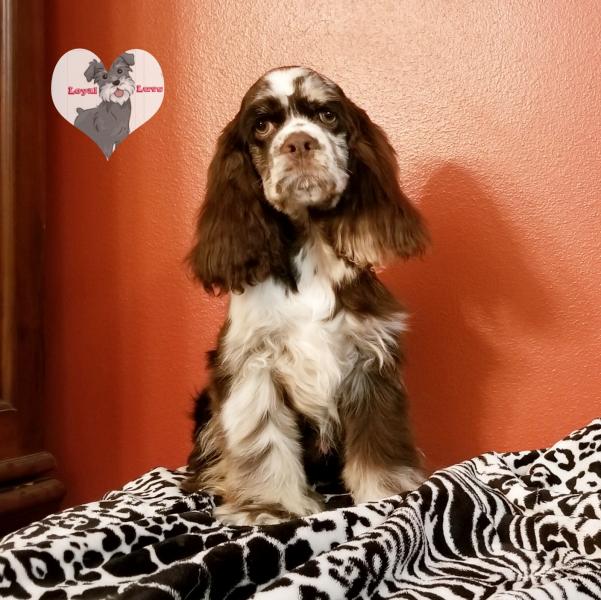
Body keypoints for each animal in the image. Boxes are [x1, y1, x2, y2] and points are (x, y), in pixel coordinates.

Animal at [183, 67, 426, 524]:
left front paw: (388, 494)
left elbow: (379, 443)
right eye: (263, 125)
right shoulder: (252, 366)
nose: (298, 142)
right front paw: (269, 506)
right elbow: (262, 444)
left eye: (327, 115)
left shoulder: (370, 359)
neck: (310, 246)